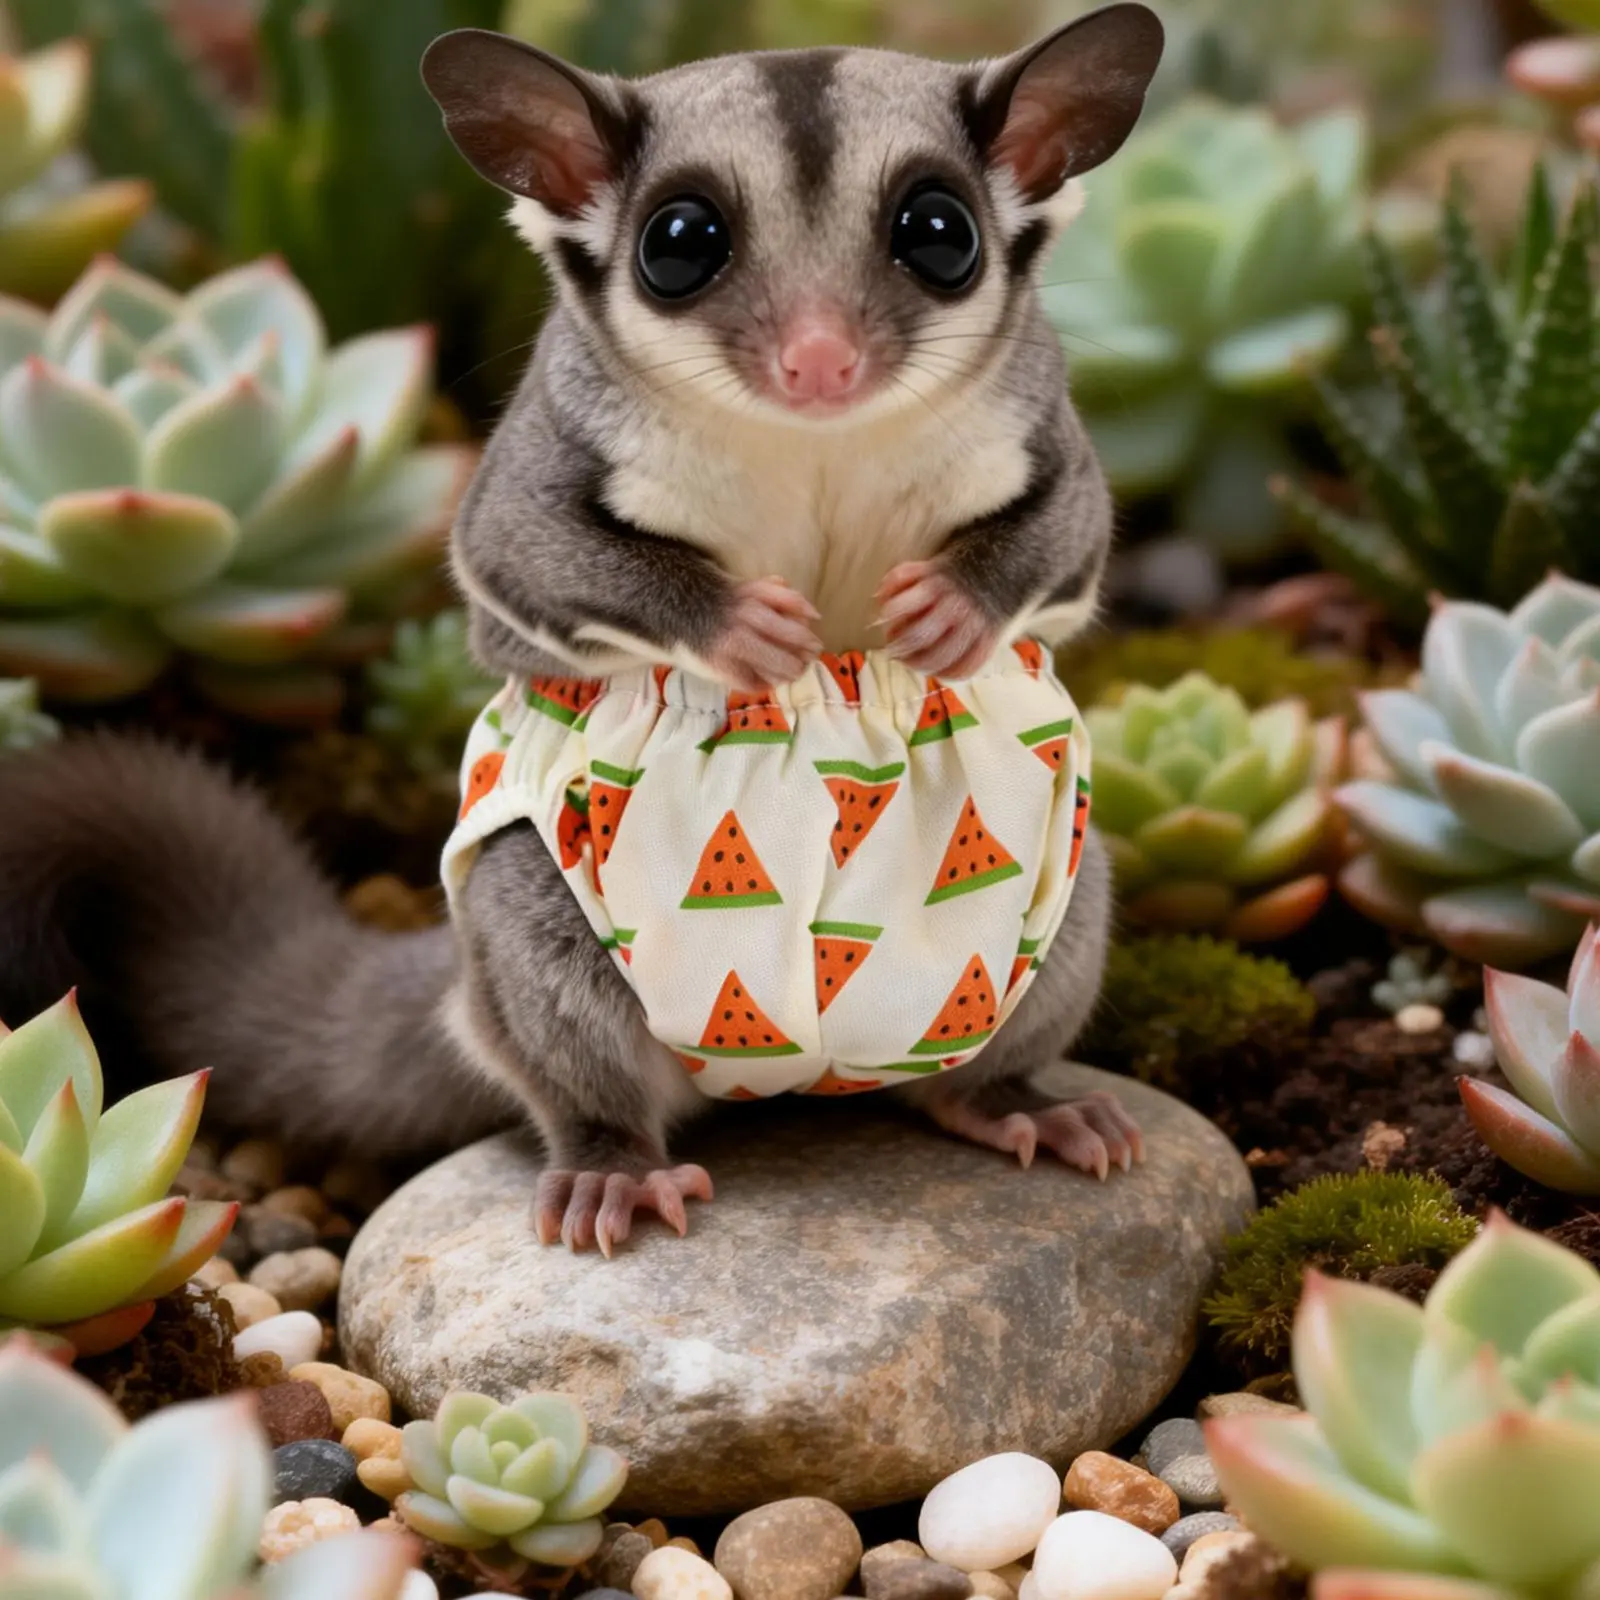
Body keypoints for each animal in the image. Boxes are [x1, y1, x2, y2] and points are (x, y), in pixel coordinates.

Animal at [0, 4, 1163, 1255]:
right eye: (681, 241)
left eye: (938, 233)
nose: (819, 362)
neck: (812, 440)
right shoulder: (542, 452)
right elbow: (521, 545)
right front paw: (739, 630)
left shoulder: (1040, 423)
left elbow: (1073, 524)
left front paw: (951, 610)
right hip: (540, 917)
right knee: (564, 1024)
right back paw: (613, 1165)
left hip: (1041, 898)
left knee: (1016, 998)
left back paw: (1020, 1102)